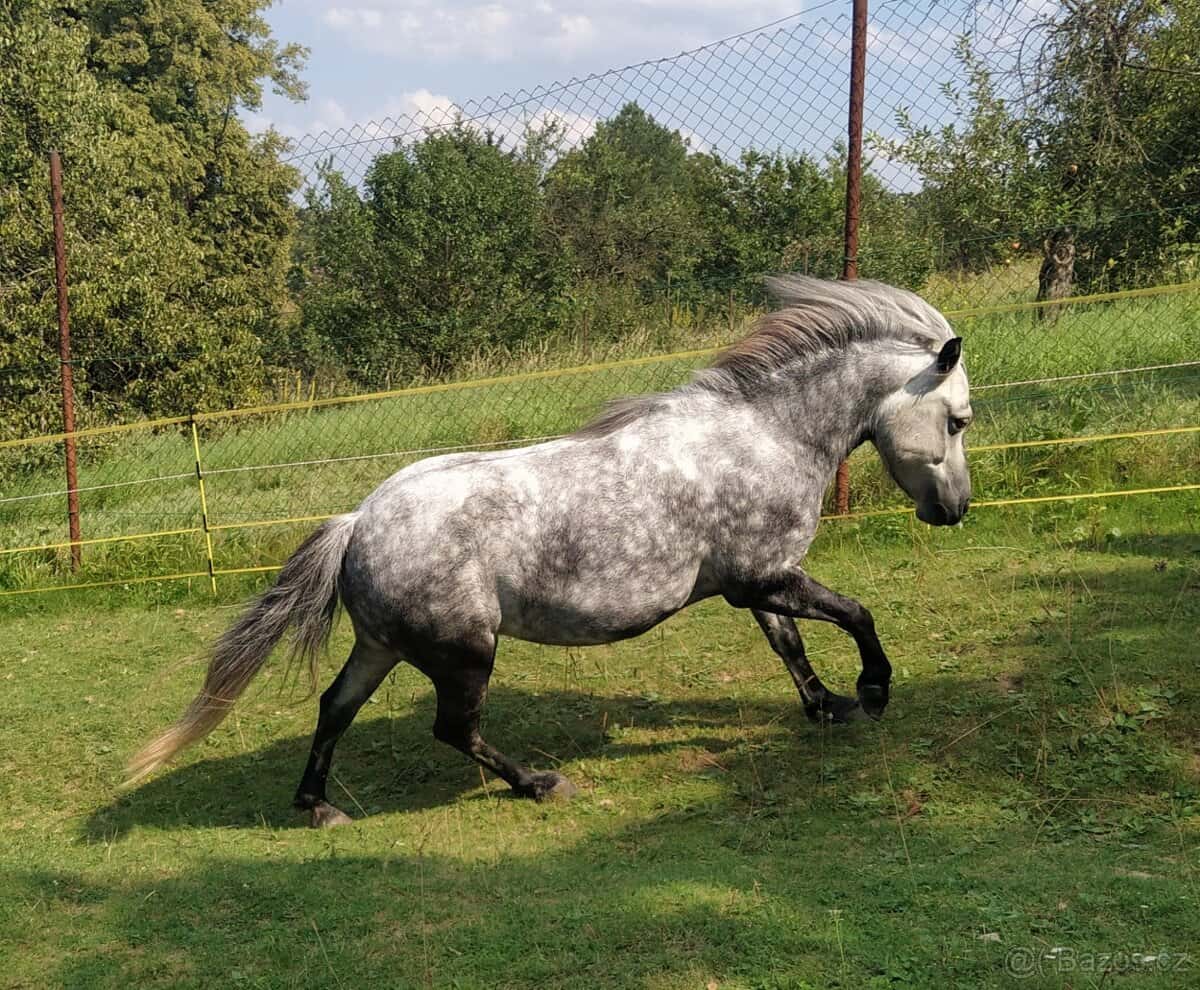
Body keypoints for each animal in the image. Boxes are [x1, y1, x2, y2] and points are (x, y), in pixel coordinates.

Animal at [126, 276, 973, 827]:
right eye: (958, 419)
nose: (955, 510)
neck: (765, 436)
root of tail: (358, 522)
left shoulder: (760, 582)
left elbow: (790, 645)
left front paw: (826, 705)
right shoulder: (764, 577)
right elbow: (855, 614)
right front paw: (872, 693)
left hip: (383, 646)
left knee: (336, 706)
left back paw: (318, 807)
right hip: (465, 652)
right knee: (453, 728)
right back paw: (536, 784)